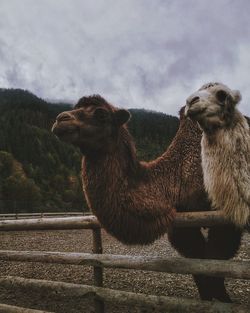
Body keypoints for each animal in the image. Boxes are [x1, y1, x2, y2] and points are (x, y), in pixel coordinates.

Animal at [52, 95, 242, 302]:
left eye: (101, 114)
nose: (61, 119)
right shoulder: (182, 222)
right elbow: (200, 266)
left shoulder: (224, 216)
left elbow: (216, 262)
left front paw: (224, 301)